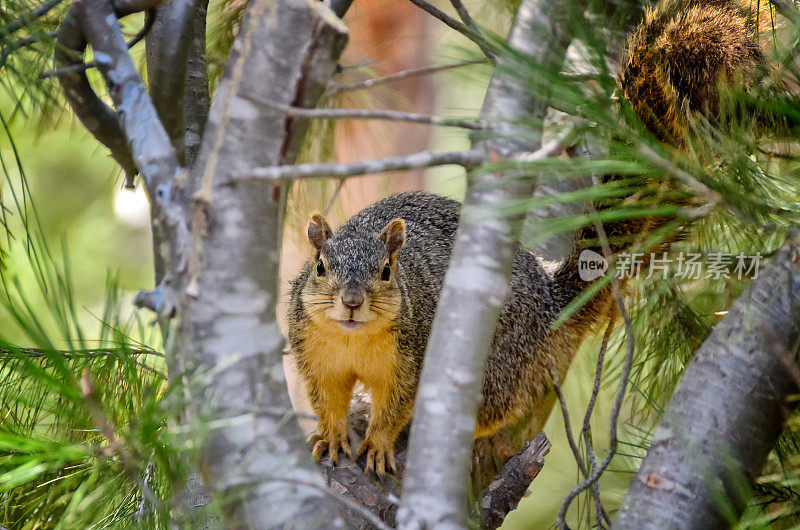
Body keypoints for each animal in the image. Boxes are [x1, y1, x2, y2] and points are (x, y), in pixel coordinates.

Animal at [286, 0, 768, 474]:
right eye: (320, 267)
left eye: (387, 272)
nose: (351, 302)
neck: (353, 338)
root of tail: (549, 303)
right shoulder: (314, 353)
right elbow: (326, 400)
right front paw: (331, 437)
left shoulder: (412, 355)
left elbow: (396, 405)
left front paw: (379, 443)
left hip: (497, 360)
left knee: (499, 407)